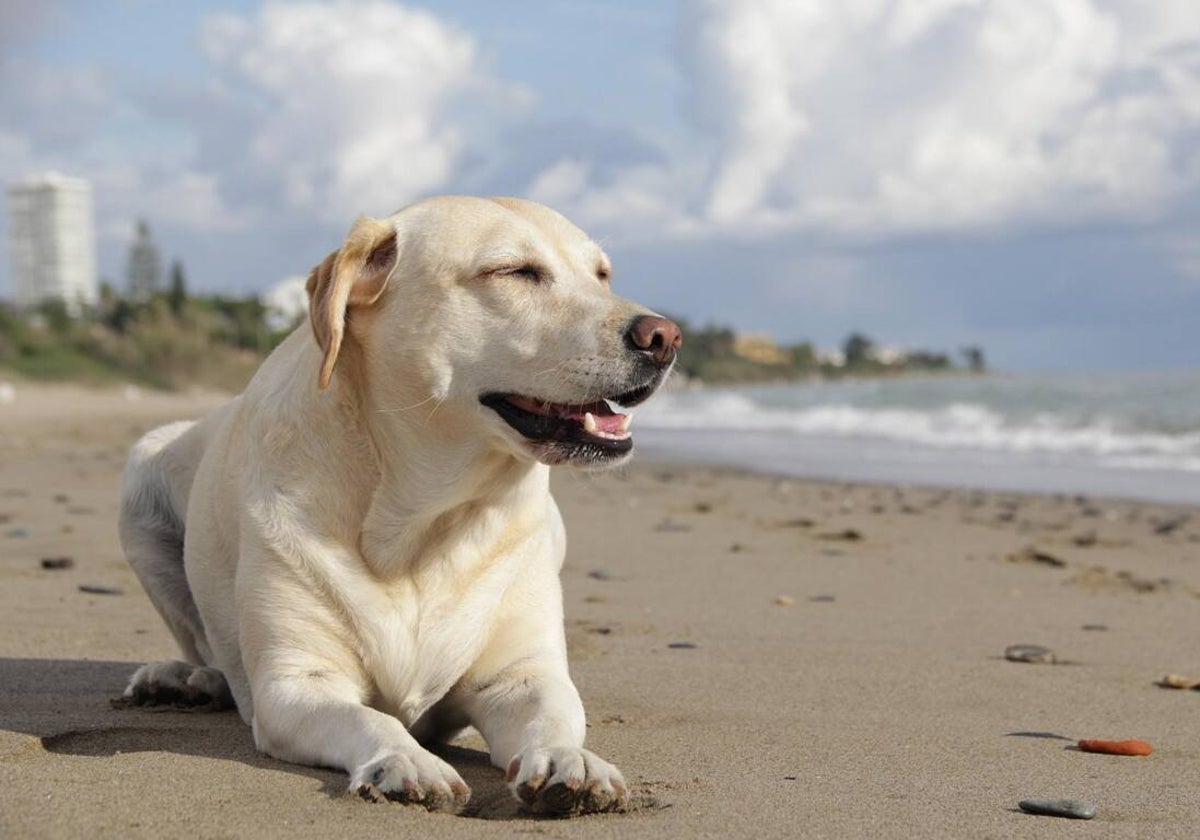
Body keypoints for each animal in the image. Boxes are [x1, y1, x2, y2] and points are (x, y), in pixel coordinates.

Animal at [121, 195, 686, 816]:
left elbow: (555, 717)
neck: (423, 523)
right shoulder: (295, 684)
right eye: (514, 272)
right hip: (141, 473)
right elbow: (369, 720)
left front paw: (573, 761)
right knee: (205, 647)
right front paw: (406, 759)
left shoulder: (523, 676)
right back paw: (184, 680)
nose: (665, 336)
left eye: (602, 275)